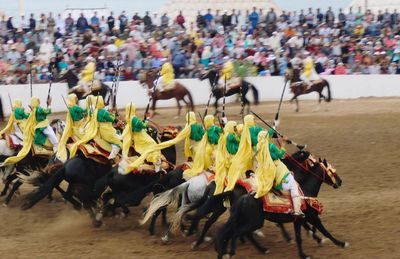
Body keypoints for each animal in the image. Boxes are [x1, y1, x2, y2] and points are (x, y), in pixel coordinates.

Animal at [214, 152, 348, 259]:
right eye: (332, 171)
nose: (340, 181)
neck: (305, 191)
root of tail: (244, 197)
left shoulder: (298, 220)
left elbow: (299, 237)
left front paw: (304, 252)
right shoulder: (312, 217)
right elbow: (324, 231)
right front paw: (341, 243)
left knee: (238, 232)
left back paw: (259, 249)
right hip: (255, 222)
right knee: (238, 232)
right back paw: (233, 251)